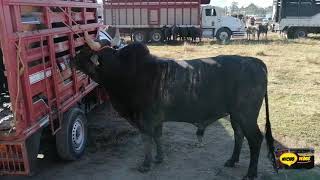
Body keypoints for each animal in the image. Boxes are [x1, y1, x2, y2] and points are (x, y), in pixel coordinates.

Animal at [72, 43, 278, 179]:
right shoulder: (156, 119)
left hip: (246, 116)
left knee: (255, 140)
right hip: (235, 116)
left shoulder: (145, 119)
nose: (75, 55)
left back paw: (251, 173)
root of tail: (255, 62)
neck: (125, 72)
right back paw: (232, 160)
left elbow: (147, 140)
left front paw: (146, 164)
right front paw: (159, 158)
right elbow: (158, 137)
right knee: (238, 135)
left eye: (92, 56)